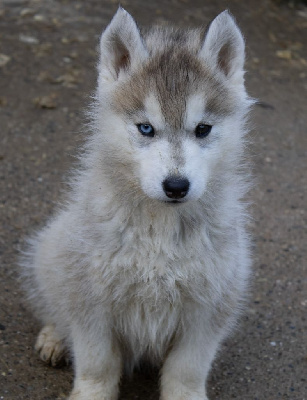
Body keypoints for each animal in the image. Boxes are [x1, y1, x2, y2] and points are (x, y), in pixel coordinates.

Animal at [21, 7, 253, 400]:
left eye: (202, 129)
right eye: (146, 128)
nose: (176, 186)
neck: (160, 232)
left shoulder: (209, 309)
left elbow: (187, 371)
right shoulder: (90, 302)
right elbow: (97, 365)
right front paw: (90, 391)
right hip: (52, 248)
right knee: (53, 302)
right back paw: (54, 337)